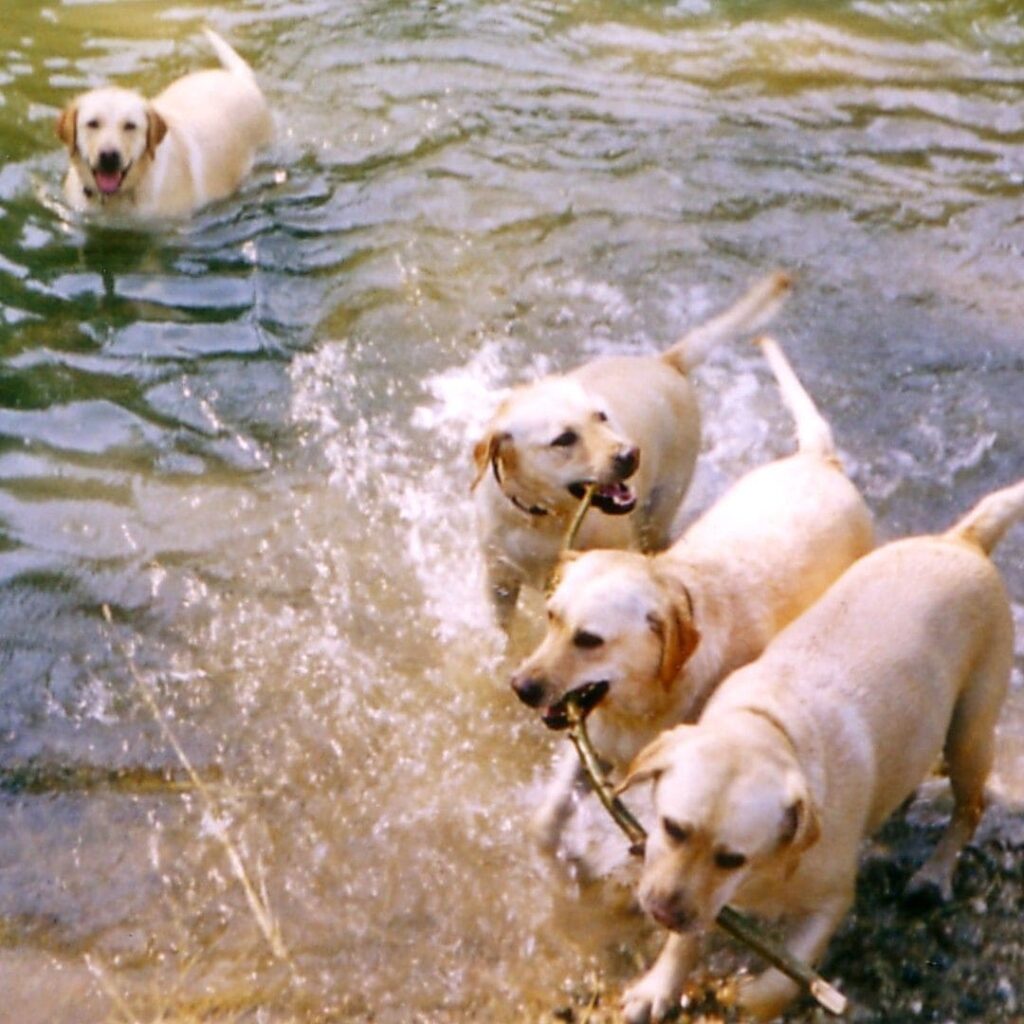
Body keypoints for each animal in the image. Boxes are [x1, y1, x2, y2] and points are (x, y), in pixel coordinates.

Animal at [471, 268, 790, 626]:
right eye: (564, 439)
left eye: (601, 416)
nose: (631, 455)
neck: (541, 519)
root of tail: (665, 361)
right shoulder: (499, 583)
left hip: (662, 506)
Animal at [512, 337, 872, 856]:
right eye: (551, 618)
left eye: (590, 639)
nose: (520, 687)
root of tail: (820, 460)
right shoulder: (594, 746)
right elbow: (545, 825)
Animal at [614, 479, 1024, 1024]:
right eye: (672, 828)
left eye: (732, 858)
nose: (662, 910)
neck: (769, 728)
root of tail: (963, 541)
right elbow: (686, 941)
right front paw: (659, 986)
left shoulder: (829, 904)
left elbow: (781, 982)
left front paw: (749, 1000)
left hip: (970, 733)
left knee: (970, 806)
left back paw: (934, 875)